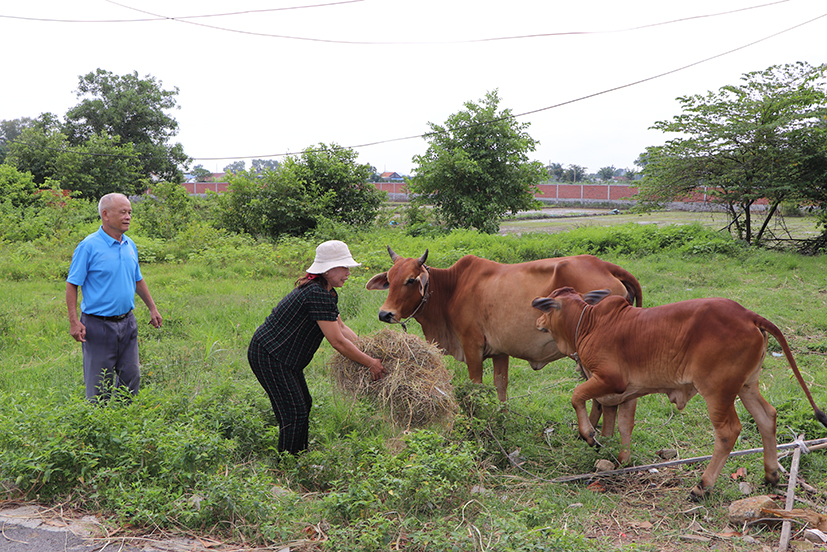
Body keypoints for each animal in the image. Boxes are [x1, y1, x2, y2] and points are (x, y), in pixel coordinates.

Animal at [366, 249, 644, 402]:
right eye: (389, 279)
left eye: (411, 280)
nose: (385, 314)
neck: (451, 289)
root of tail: (604, 265)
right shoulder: (500, 351)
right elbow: (501, 386)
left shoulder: (472, 347)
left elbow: (476, 386)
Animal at [532, 286, 827, 498]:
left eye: (549, 306)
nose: (537, 321)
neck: (588, 324)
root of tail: (747, 314)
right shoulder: (628, 393)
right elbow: (625, 426)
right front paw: (623, 461)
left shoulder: (609, 380)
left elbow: (577, 396)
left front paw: (589, 435)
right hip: (747, 386)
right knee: (767, 417)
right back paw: (771, 475)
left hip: (717, 392)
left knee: (728, 432)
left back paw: (702, 486)